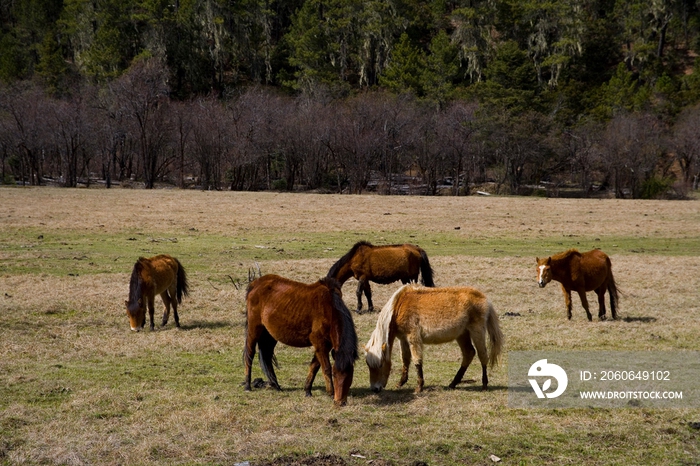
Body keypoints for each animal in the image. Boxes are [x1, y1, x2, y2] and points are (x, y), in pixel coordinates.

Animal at [243, 274, 358, 406]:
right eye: (335, 374)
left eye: (350, 375)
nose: (340, 402)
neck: (330, 309)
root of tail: (255, 283)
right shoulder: (320, 344)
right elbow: (326, 368)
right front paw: (330, 392)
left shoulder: (324, 346)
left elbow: (314, 367)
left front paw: (308, 390)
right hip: (254, 329)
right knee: (249, 354)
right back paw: (247, 385)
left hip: (270, 334)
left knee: (267, 356)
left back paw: (276, 385)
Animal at [366, 284, 504, 394]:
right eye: (369, 365)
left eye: (380, 365)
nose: (375, 389)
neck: (399, 306)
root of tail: (484, 298)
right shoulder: (403, 339)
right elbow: (405, 360)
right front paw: (400, 383)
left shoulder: (413, 337)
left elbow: (417, 360)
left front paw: (419, 387)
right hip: (462, 334)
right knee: (469, 353)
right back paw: (453, 383)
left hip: (477, 332)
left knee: (483, 355)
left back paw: (484, 384)